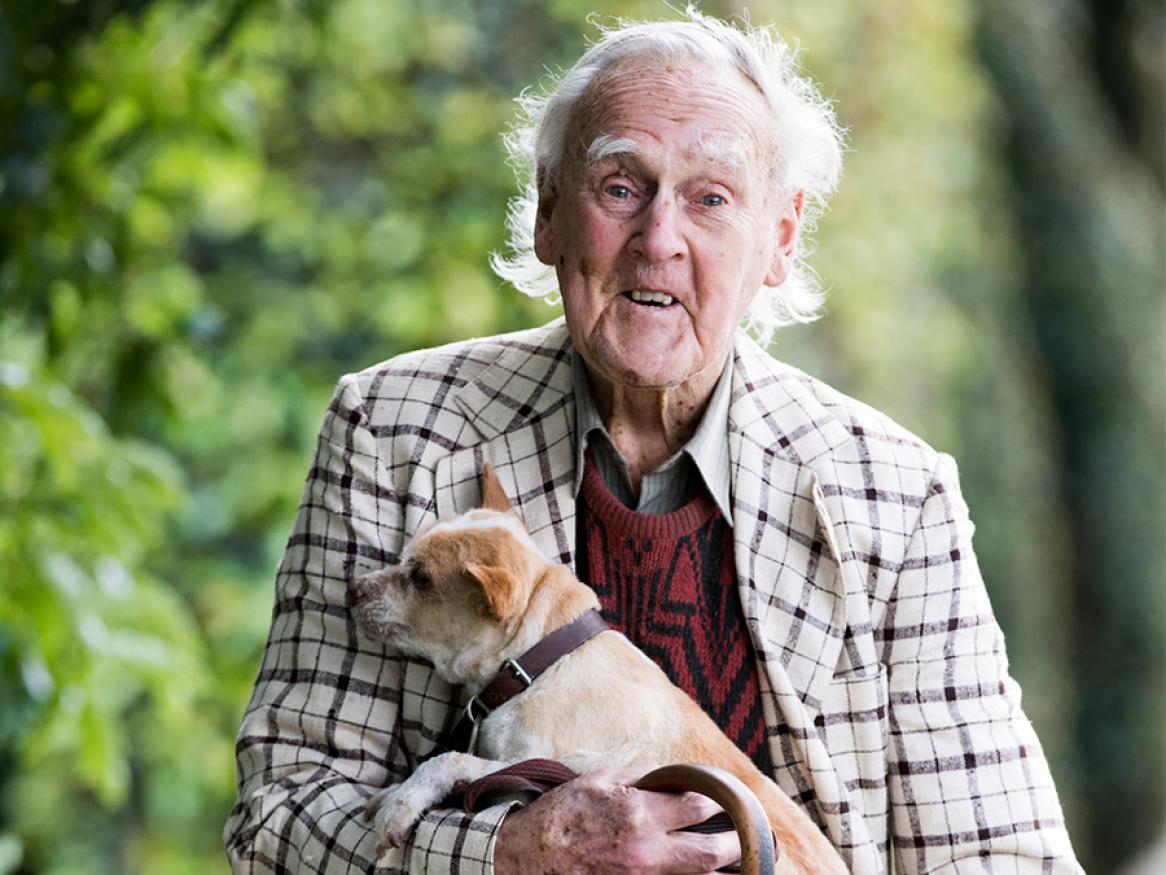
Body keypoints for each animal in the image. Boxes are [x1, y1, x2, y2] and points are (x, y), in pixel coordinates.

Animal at [347, 468, 848, 872]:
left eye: (421, 578)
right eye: (404, 559)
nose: (351, 589)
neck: (540, 660)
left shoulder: (558, 766)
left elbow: (448, 760)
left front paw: (400, 804)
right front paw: (391, 796)